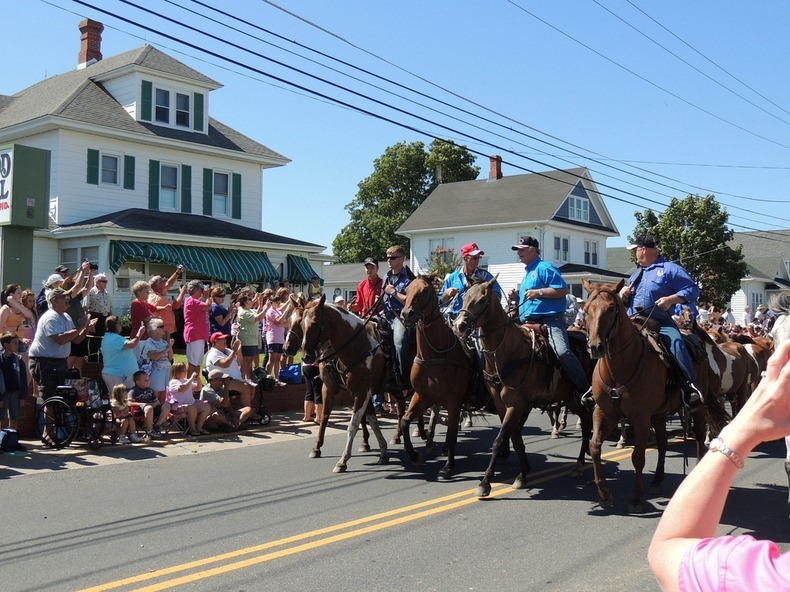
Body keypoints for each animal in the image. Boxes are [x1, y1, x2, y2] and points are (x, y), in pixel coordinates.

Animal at [302, 294, 392, 472]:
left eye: (315, 324)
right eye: (301, 324)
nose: (305, 357)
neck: (360, 346)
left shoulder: (362, 392)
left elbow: (354, 424)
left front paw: (343, 460)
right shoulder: (344, 390)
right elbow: (370, 420)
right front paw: (383, 451)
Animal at [402, 272, 476, 476]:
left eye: (425, 291)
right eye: (406, 290)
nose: (407, 314)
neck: (433, 355)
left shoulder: (453, 401)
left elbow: (451, 434)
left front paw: (449, 465)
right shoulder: (422, 396)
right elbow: (404, 421)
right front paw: (414, 455)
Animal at [452, 276, 592, 498]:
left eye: (483, 300)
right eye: (464, 297)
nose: (459, 326)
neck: (506, 353)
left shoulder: (516, 403)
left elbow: (499, 439)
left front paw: (485, 482)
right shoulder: (504, 405)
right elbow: (514, 436)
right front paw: (523, 473)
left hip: (579, 395)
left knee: (587, 422)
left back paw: (579, 464)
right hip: (569, 398)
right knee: (585, 419)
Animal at [580, 280, 732, 512]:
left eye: (612, 309)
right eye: (587, 309)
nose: (595, 347)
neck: (620, 367)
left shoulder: (641, 418)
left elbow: (638, 457)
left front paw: (636, 498)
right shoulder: (604, 412)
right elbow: (595, 447)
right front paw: (604, 494)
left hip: (697, 407)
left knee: (698, 436)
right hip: (659, 414)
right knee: (662, 442)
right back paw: (657, 480)